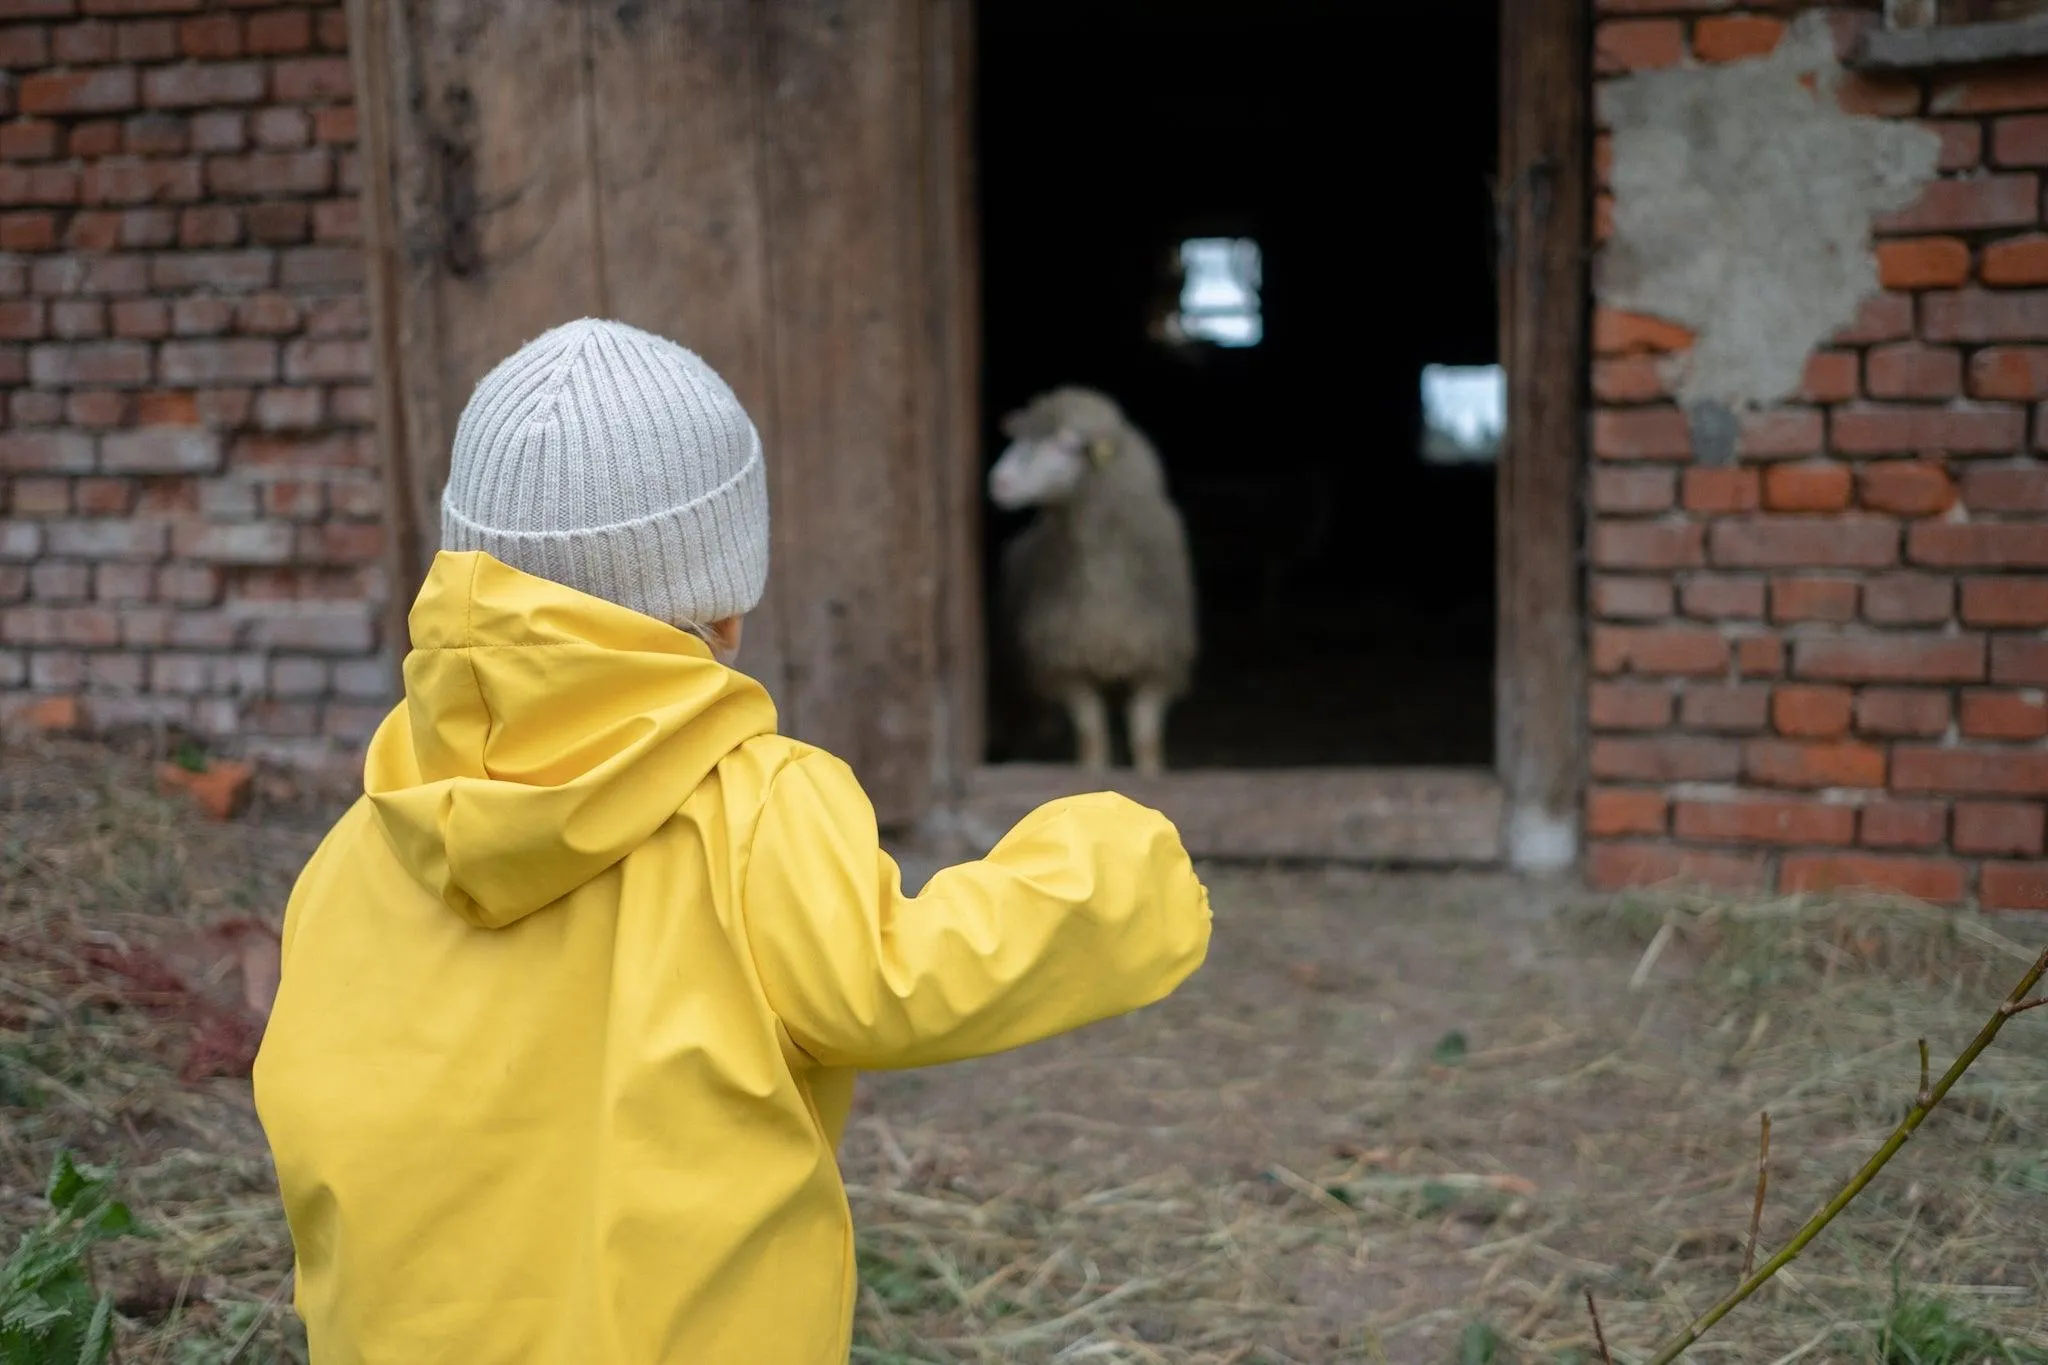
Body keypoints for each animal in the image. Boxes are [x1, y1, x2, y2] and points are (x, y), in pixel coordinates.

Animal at [987, 386, 1196, 777]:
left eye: (1067, 445)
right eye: (1018, 437)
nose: (998, 482)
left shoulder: (1157, 664)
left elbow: (1146, 738)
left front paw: (1150, 776)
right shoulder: (1067, 663)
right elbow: (1092, 735)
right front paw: (1093, 776)